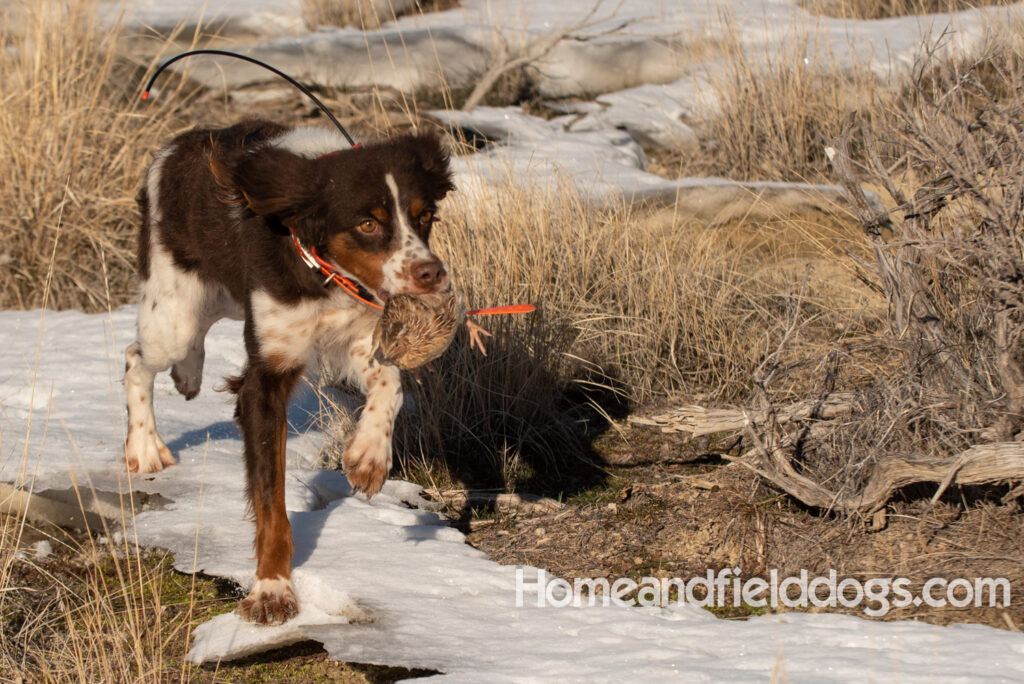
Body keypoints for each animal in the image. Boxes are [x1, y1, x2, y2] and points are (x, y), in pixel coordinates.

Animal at [122, 118, 452, 626]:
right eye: (368, 223)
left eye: (425, 216)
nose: (430, 273)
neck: (321, 270)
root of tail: (178, 144)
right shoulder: (268, 375)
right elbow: (270, 500)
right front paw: (272, 590)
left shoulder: (358, 333)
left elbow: (390, 382)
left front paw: (368, 456)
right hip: (172, 316)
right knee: (136, 359)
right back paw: (144, 447)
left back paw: (188, 375)